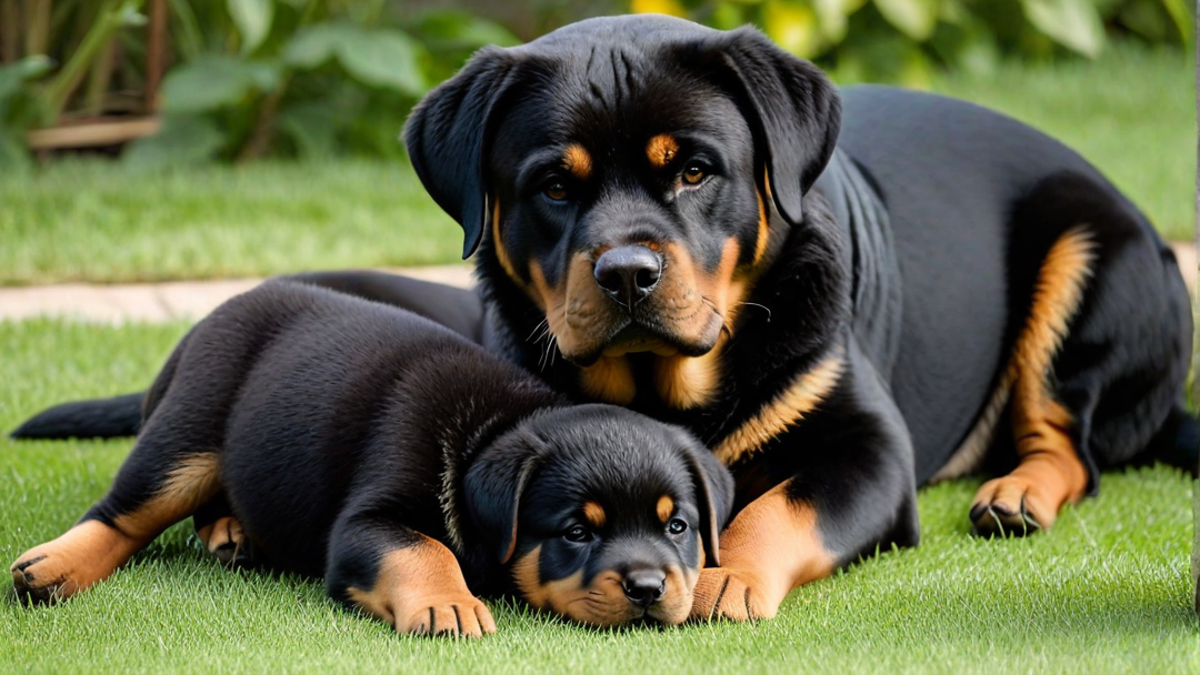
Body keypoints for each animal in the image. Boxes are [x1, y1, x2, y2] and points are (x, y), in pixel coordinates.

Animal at [11, 276, 729, 634]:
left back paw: (230, 531)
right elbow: (423, 546)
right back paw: (50, 566)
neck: (490, 427)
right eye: (577, 532)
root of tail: (204, 322)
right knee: (124, 509)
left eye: (677, 526)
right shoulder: (365, 523)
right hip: (189, 428)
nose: (649, 588)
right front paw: (448, 603)